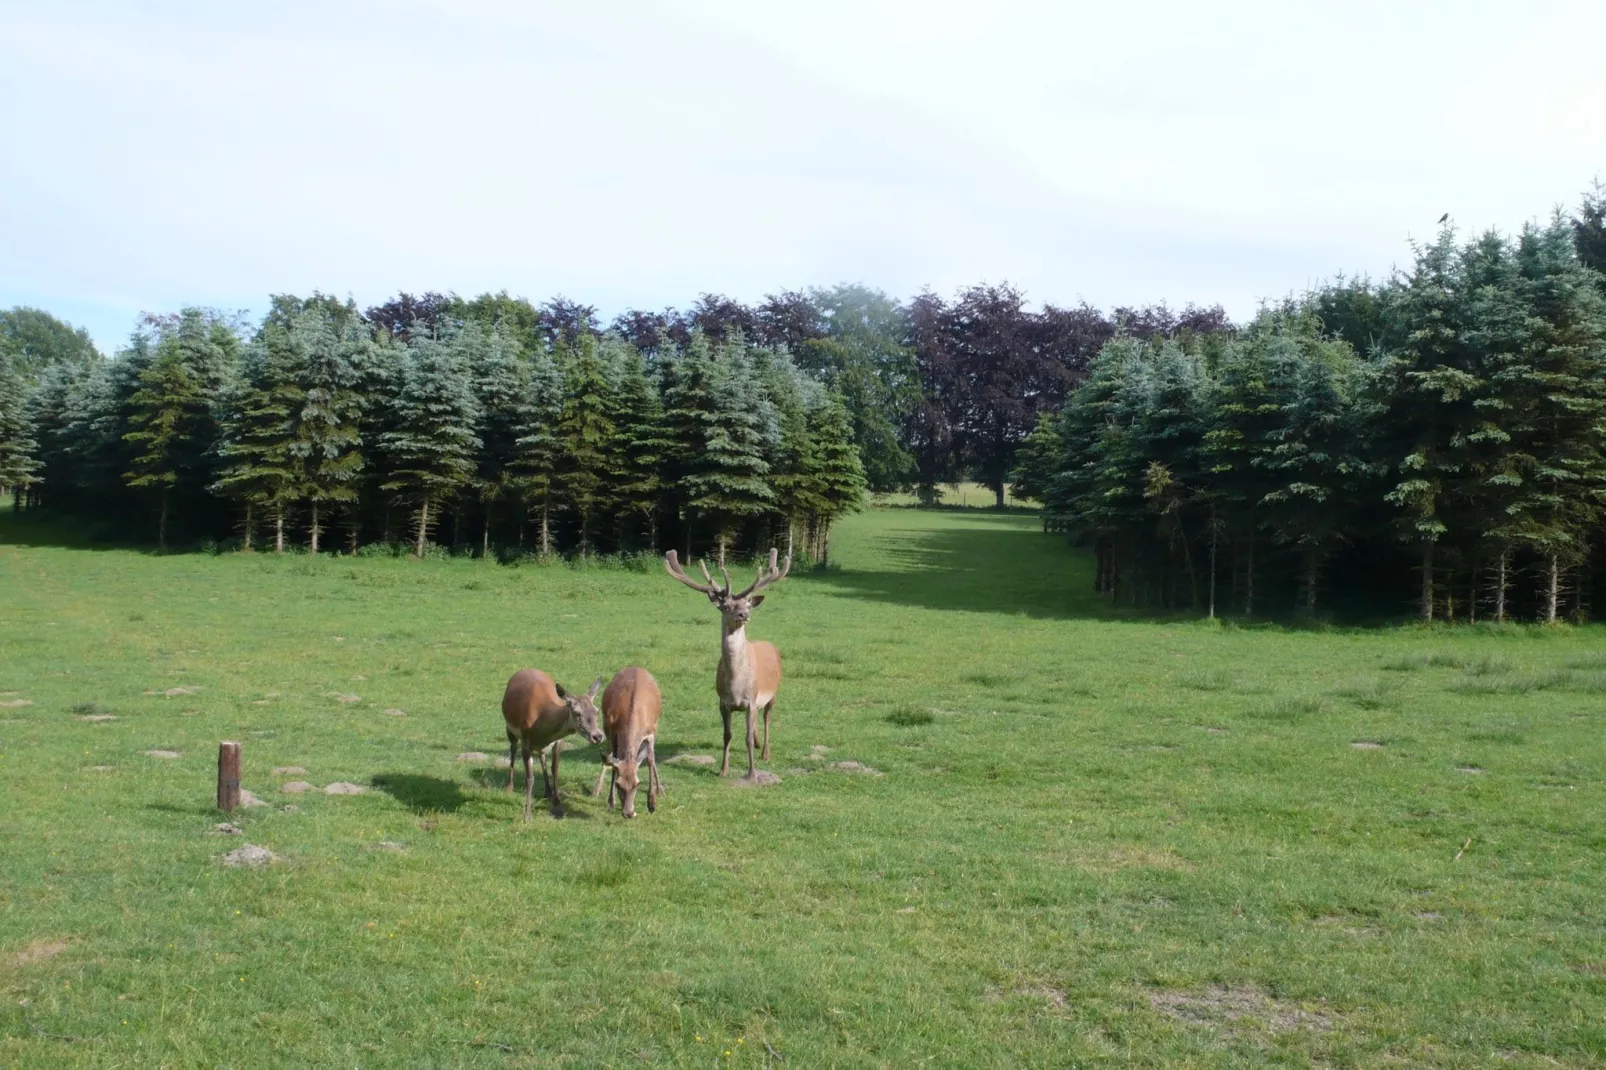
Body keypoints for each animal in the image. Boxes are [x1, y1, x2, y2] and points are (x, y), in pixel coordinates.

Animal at [497, 668, 603, 816]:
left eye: (597, 711)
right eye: (576, 713)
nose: (597, 736)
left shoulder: (559, 741)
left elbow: (555, 770)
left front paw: (557, 804)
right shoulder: (526, 740)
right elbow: (529, 778)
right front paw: (527, 814)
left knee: (542, 756)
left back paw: (548, 792)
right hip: (510, 729)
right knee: (512, 749)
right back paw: (509, 787)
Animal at [594, 668, 661, 816]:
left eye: (637, 784)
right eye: (618, 784)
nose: (629, 813)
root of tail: (636, 667)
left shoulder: (650, 732)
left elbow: (650, 759)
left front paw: (652, 803)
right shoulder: (613, 731)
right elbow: (614, 762)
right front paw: (611, 802)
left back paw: (661, 789)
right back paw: (596, 790)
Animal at [664, 546, 790, 780]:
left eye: (747, 604)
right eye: (727, 606)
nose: (744, 614)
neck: (736, 683)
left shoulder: (751, 700)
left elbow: (746, 737)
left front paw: (752, 773)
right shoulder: (723, 702)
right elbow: (727, 735)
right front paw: (723, 770)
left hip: (774, 692)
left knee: (767, 718)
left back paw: (765, 753)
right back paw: (758, 744)